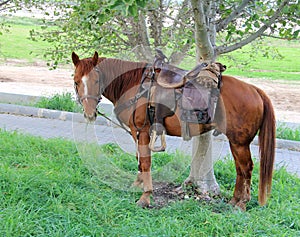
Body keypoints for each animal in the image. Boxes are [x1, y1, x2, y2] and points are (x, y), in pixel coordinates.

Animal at [71, 51, 276, 210]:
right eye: (76, 81)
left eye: (96, 80)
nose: (89, 113)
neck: (134, 85)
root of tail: (256, 90)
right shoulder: (136, 132)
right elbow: (139, 159)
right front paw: (137, 184)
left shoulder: (143, 130)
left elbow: (145, 162)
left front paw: (145, 197)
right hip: (236, 142)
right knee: (240, 170)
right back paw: (234, 200)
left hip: (239, 142)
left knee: (246, 168)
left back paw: (242, 203)